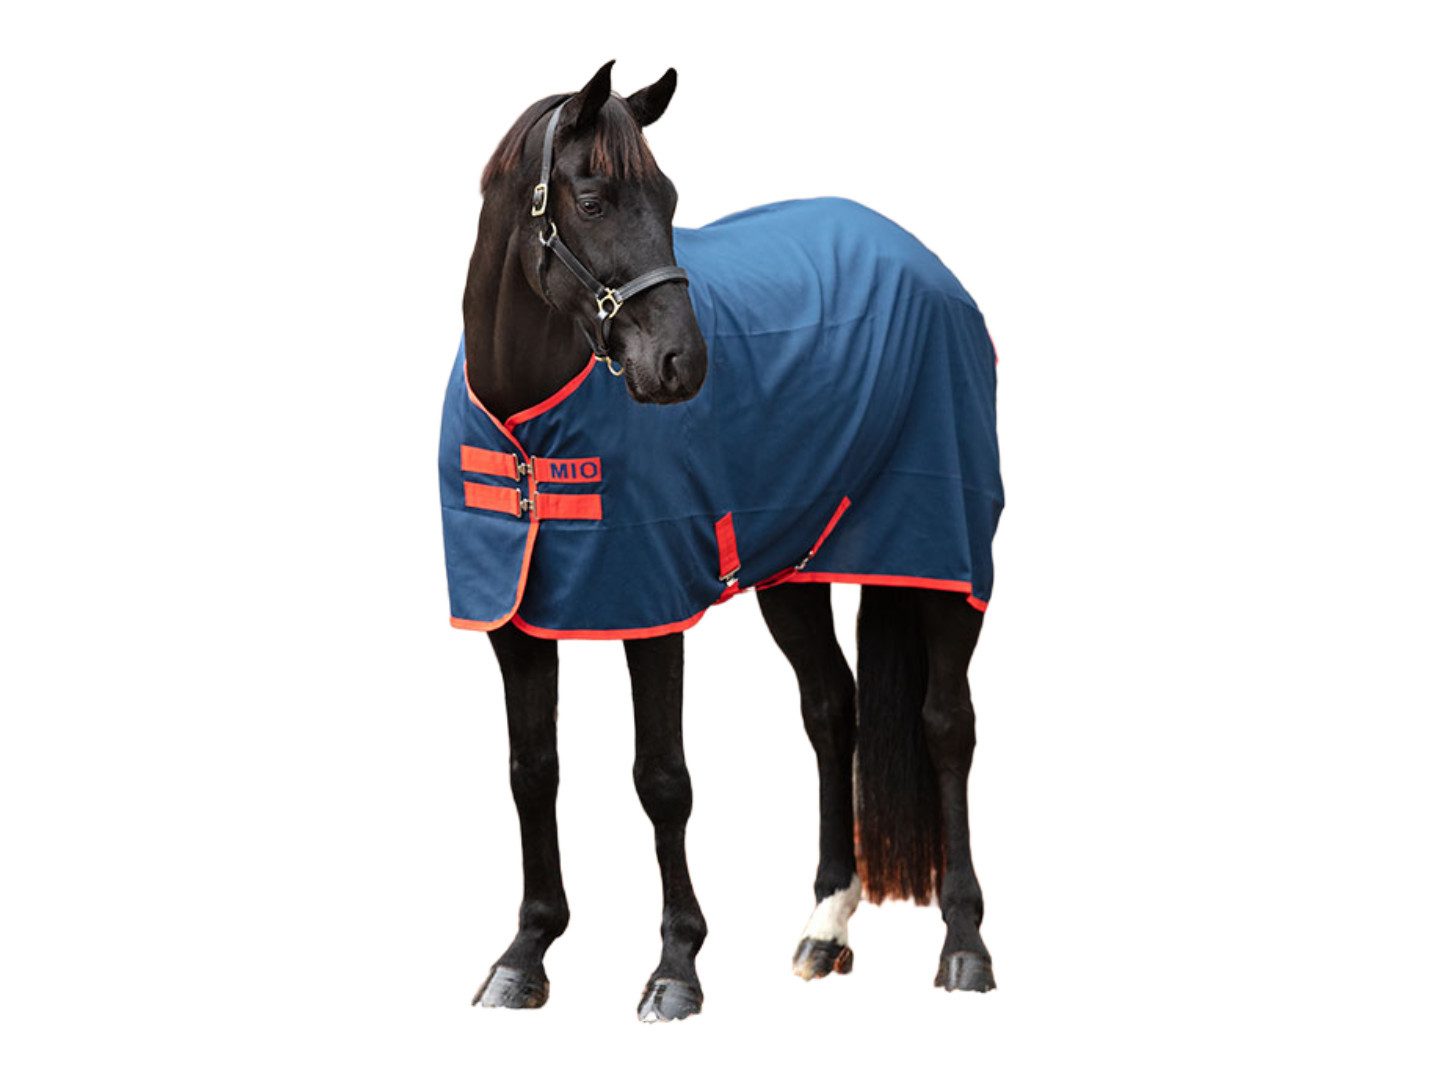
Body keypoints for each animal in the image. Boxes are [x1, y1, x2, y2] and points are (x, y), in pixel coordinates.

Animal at [441, 61, 1003, 1021]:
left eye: (669, 197)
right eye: (591, 199)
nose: (681, 366)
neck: (528, 423)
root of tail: (925, 261)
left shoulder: (650, 605)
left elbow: (662, 779)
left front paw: (676, 967)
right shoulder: (513, 622)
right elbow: (532, 771)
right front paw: (525, 955)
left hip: (942, 557)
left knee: (946, 725)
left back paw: (965, 945)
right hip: (795, 567)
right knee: (832, 709)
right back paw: (826, 924)